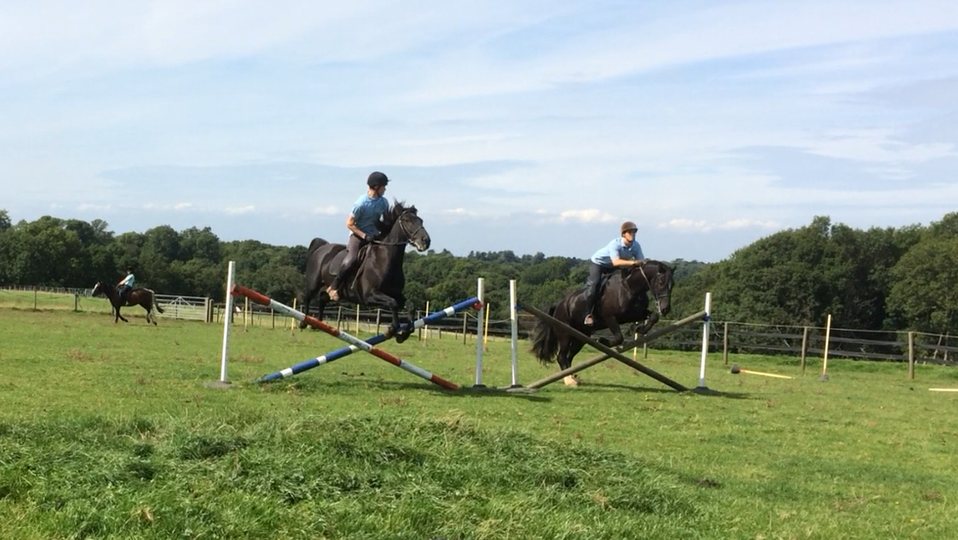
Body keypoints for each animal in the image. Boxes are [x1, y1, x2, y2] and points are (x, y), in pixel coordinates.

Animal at [300, 201, 431, 343]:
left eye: (421, 220)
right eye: (407, 221)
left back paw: (317, 323)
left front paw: (403, 334)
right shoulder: (369, 296)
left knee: (322, 299)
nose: (426, 241)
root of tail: (321, 247)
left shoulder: (396, 293)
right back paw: (304, 322)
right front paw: (392, 330)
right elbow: (393, 303)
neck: (384, 259)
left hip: (331, 290)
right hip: (313, 283)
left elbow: (410, 306)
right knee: (307, 297)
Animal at [529, 260, 674, 386]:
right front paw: (603, 341)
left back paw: (573, 377)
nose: (665, 308)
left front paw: (638, 328)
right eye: (661, 282)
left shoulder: (634, 313)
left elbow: (653, 316)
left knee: (569, 356)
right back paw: (569, 380)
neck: (630, 288)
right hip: (564, 333)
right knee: (562, 356)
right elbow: (619, 337)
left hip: (581, 336)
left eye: (672, 285)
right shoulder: (610, 317)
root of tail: (559, 304)